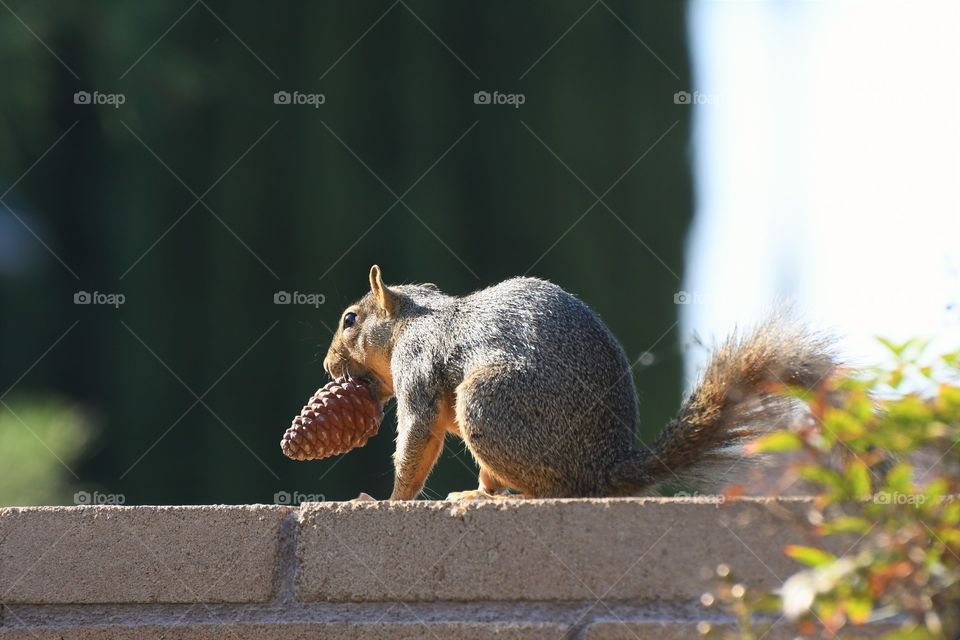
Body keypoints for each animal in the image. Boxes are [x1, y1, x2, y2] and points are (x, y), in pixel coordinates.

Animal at [322, 264, 832, 500]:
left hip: (487, 404)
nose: (328, 366)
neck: (411, 322)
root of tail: (602, 470)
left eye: (349, 320)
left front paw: (387, 500)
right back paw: (482, 494)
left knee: (549, 490)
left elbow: (416, 438)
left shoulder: (418, 365)